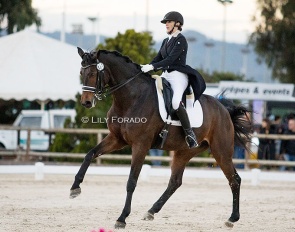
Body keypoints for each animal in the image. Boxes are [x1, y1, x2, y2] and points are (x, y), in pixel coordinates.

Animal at [69, 46, 252, 228]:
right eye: (81, 72)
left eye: (94, 73)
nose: (86, 102)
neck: (131, 98)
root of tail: (224, 109)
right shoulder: (117, 139)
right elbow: (90, 154)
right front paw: (75, 188)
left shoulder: (140, 145)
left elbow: (131, 181)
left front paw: (122, 218)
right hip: (184, 152)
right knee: (175, 182)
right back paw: (151, 211)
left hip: (221, 151)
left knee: (234, 179)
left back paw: (232, 218)